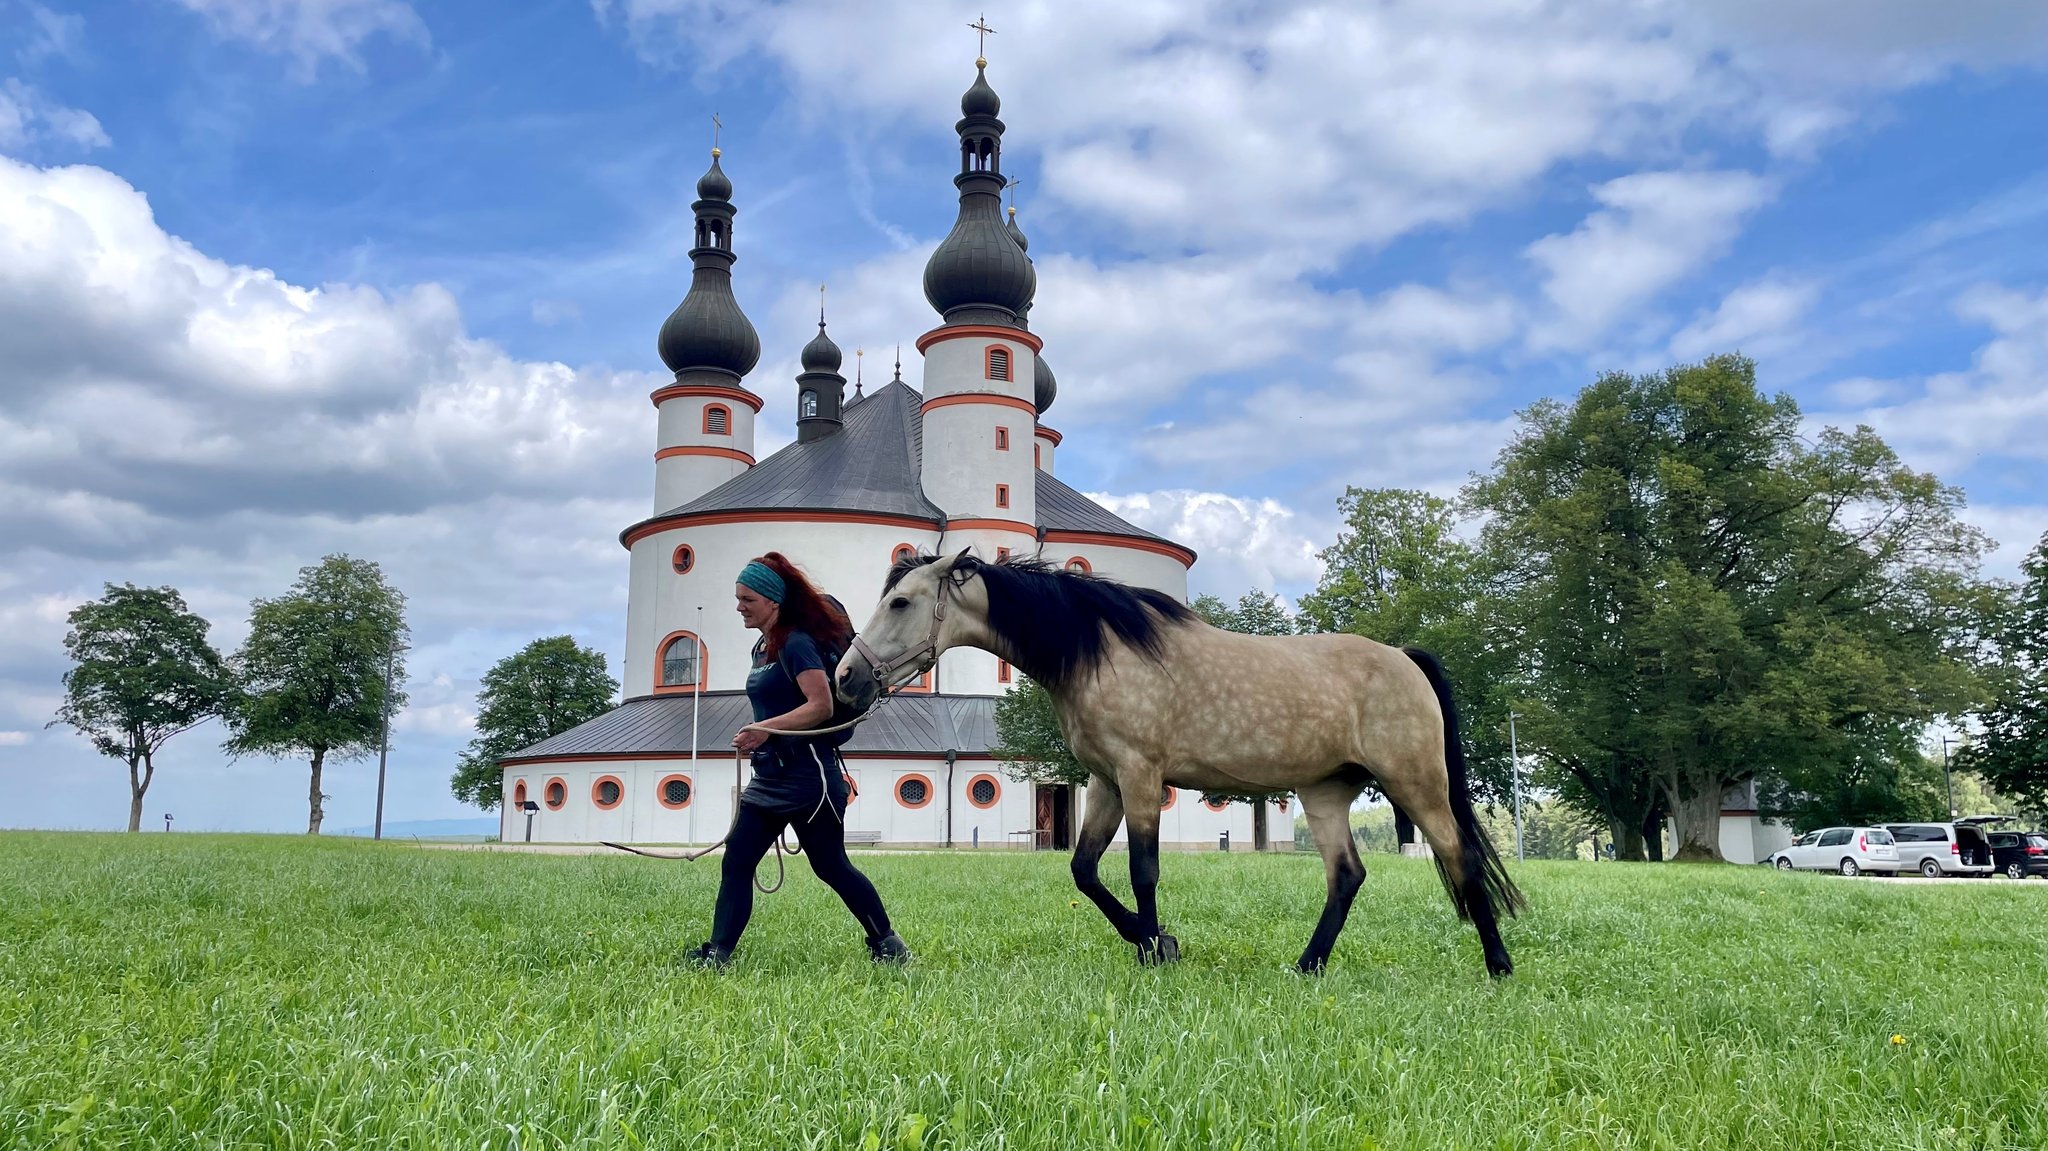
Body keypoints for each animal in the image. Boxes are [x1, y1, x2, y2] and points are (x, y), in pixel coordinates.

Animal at [831, 552, 1523, 970]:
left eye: (900, 603)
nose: (846, 677)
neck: (1097, 652)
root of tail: (1405, 658)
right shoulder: (1104, 782)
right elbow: (1085, 871)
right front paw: (1150, 938)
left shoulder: (1140, 776)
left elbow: (1143, 870)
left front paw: (1156, 947)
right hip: (1325, 792)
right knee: (1346, 875)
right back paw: (1307, 964)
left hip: (1416, 782)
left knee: (1459, 856)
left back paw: (1498, 966)